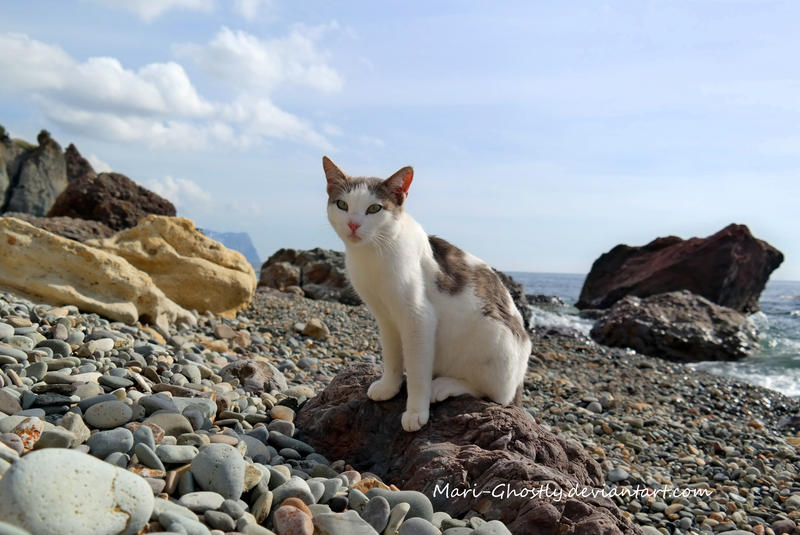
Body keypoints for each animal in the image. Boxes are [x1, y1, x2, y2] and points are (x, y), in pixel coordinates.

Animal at [322, 155, 528, 432]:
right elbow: (392, 356)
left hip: (495, 337)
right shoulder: (386, 319)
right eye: (342, 205)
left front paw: (416, 411)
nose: (353, 224)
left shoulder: (418, 318)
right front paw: (389, 387)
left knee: (494, 396)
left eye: (374, 209)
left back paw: (443, 386)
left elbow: (417, 371)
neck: (374, 252)